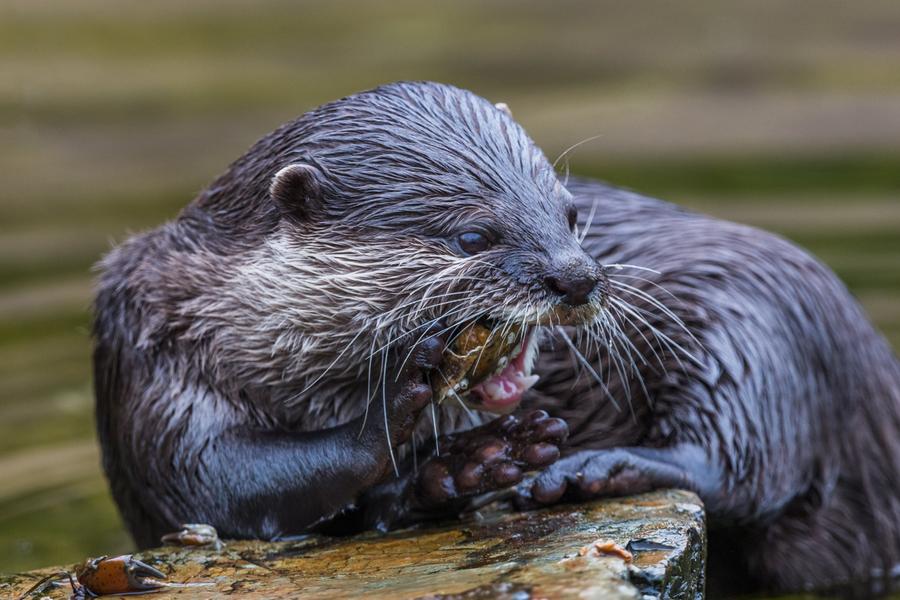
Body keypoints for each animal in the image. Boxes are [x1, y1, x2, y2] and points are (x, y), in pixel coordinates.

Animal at [93, 81, 900, 594]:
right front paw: (449, 452)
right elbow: (213, 481)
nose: (578, 278)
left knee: (742, 463)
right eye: (474, 236)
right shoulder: (144, 358)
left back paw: (589, 470)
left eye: (571, 213)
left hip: (753, 325)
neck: (226, 315)